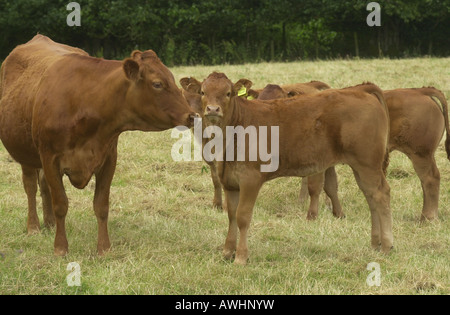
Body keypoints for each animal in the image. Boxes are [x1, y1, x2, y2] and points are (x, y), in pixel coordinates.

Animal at [0, 35, 197, 256]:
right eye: (157, 84)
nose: (191, 115)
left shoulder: (109, 159)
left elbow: (101, 205)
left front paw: (104, 248)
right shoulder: (50, 158)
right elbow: (61, 203)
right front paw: (60, 248)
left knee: (43, 185)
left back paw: (49, 224)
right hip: (26, 153)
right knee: (31, 186)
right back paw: (33, 226)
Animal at [195, 73, 392, 266]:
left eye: (228, 93)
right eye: (203, 92)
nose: (213, 109)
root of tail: (361, 91)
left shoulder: (250, 179)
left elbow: (242, 216)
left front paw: (241, 257)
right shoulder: (229, 181)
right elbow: (232, 216)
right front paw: (227, 252)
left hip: (368, 163)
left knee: (381, 194)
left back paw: (386, 245)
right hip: (360, 166)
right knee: (370, 197)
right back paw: (375, 243)